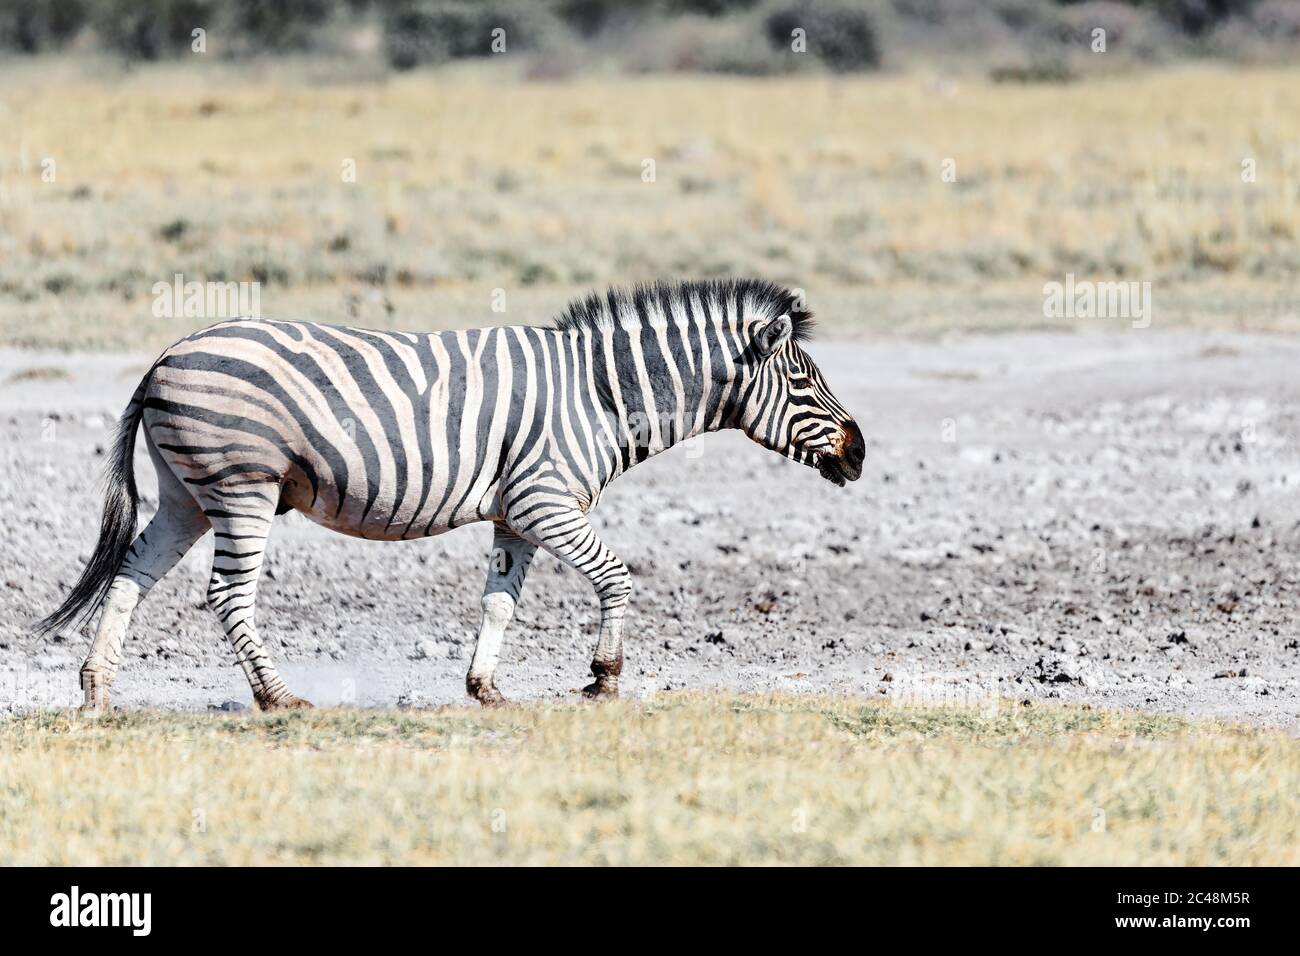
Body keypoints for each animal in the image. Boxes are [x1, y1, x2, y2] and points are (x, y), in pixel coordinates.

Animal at [38, 278, 863, 712]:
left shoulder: (516, 515)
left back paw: (96, 690)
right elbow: (617, 576)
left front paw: (485, 686)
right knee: (227, 595)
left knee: (131, 574)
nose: (859, 453)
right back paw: (277, 697)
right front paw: (603, 676)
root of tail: (164, 355)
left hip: (185, 494)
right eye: (803, 382)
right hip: (243, 486)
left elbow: (499, 602)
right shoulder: (544, 499)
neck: (601, 395)